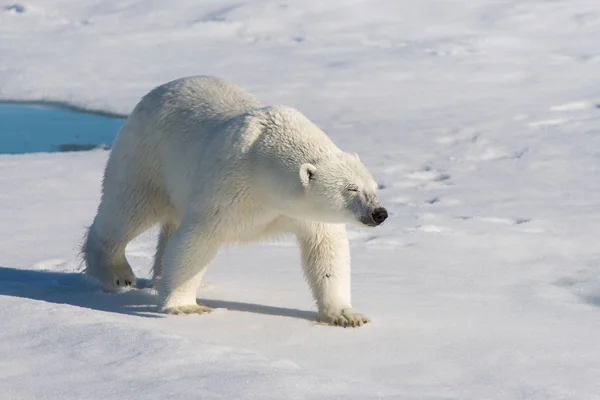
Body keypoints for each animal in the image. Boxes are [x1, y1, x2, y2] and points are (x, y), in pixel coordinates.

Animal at [82, 76, 386, 328]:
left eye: (373, 187)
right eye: (351, 189)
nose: (379, 213)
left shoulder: (304, 214)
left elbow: (326, 249)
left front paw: (345, 315)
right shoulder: (230, 185)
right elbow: (198, 237)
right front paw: (185, 307)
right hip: (147, 158)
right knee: (128, 209)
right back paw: (116, 273)